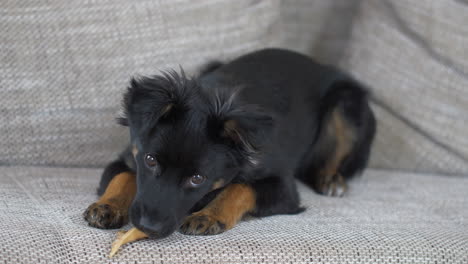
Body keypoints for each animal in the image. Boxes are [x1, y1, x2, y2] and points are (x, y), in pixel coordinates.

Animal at [84, 48, 376, 238]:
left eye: (197, 178)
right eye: (150, 160)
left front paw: (209, 215)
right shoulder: (127, 158)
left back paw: (331, 179)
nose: (148, 227)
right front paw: (108, 205)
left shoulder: (282, 187)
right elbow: (123, 177)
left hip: (347, 104)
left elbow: (240, 188)